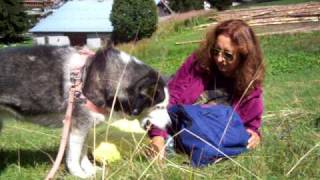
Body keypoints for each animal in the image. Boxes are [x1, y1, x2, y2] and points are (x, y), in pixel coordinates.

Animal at [0, 44, 170, 177]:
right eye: (159, 106)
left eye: (166, 106)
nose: (169, 125)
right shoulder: (78, 126)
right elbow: (74, 155)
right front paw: (79, 174)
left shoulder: (83, 127)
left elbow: (82, 152)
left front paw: (90, 170)